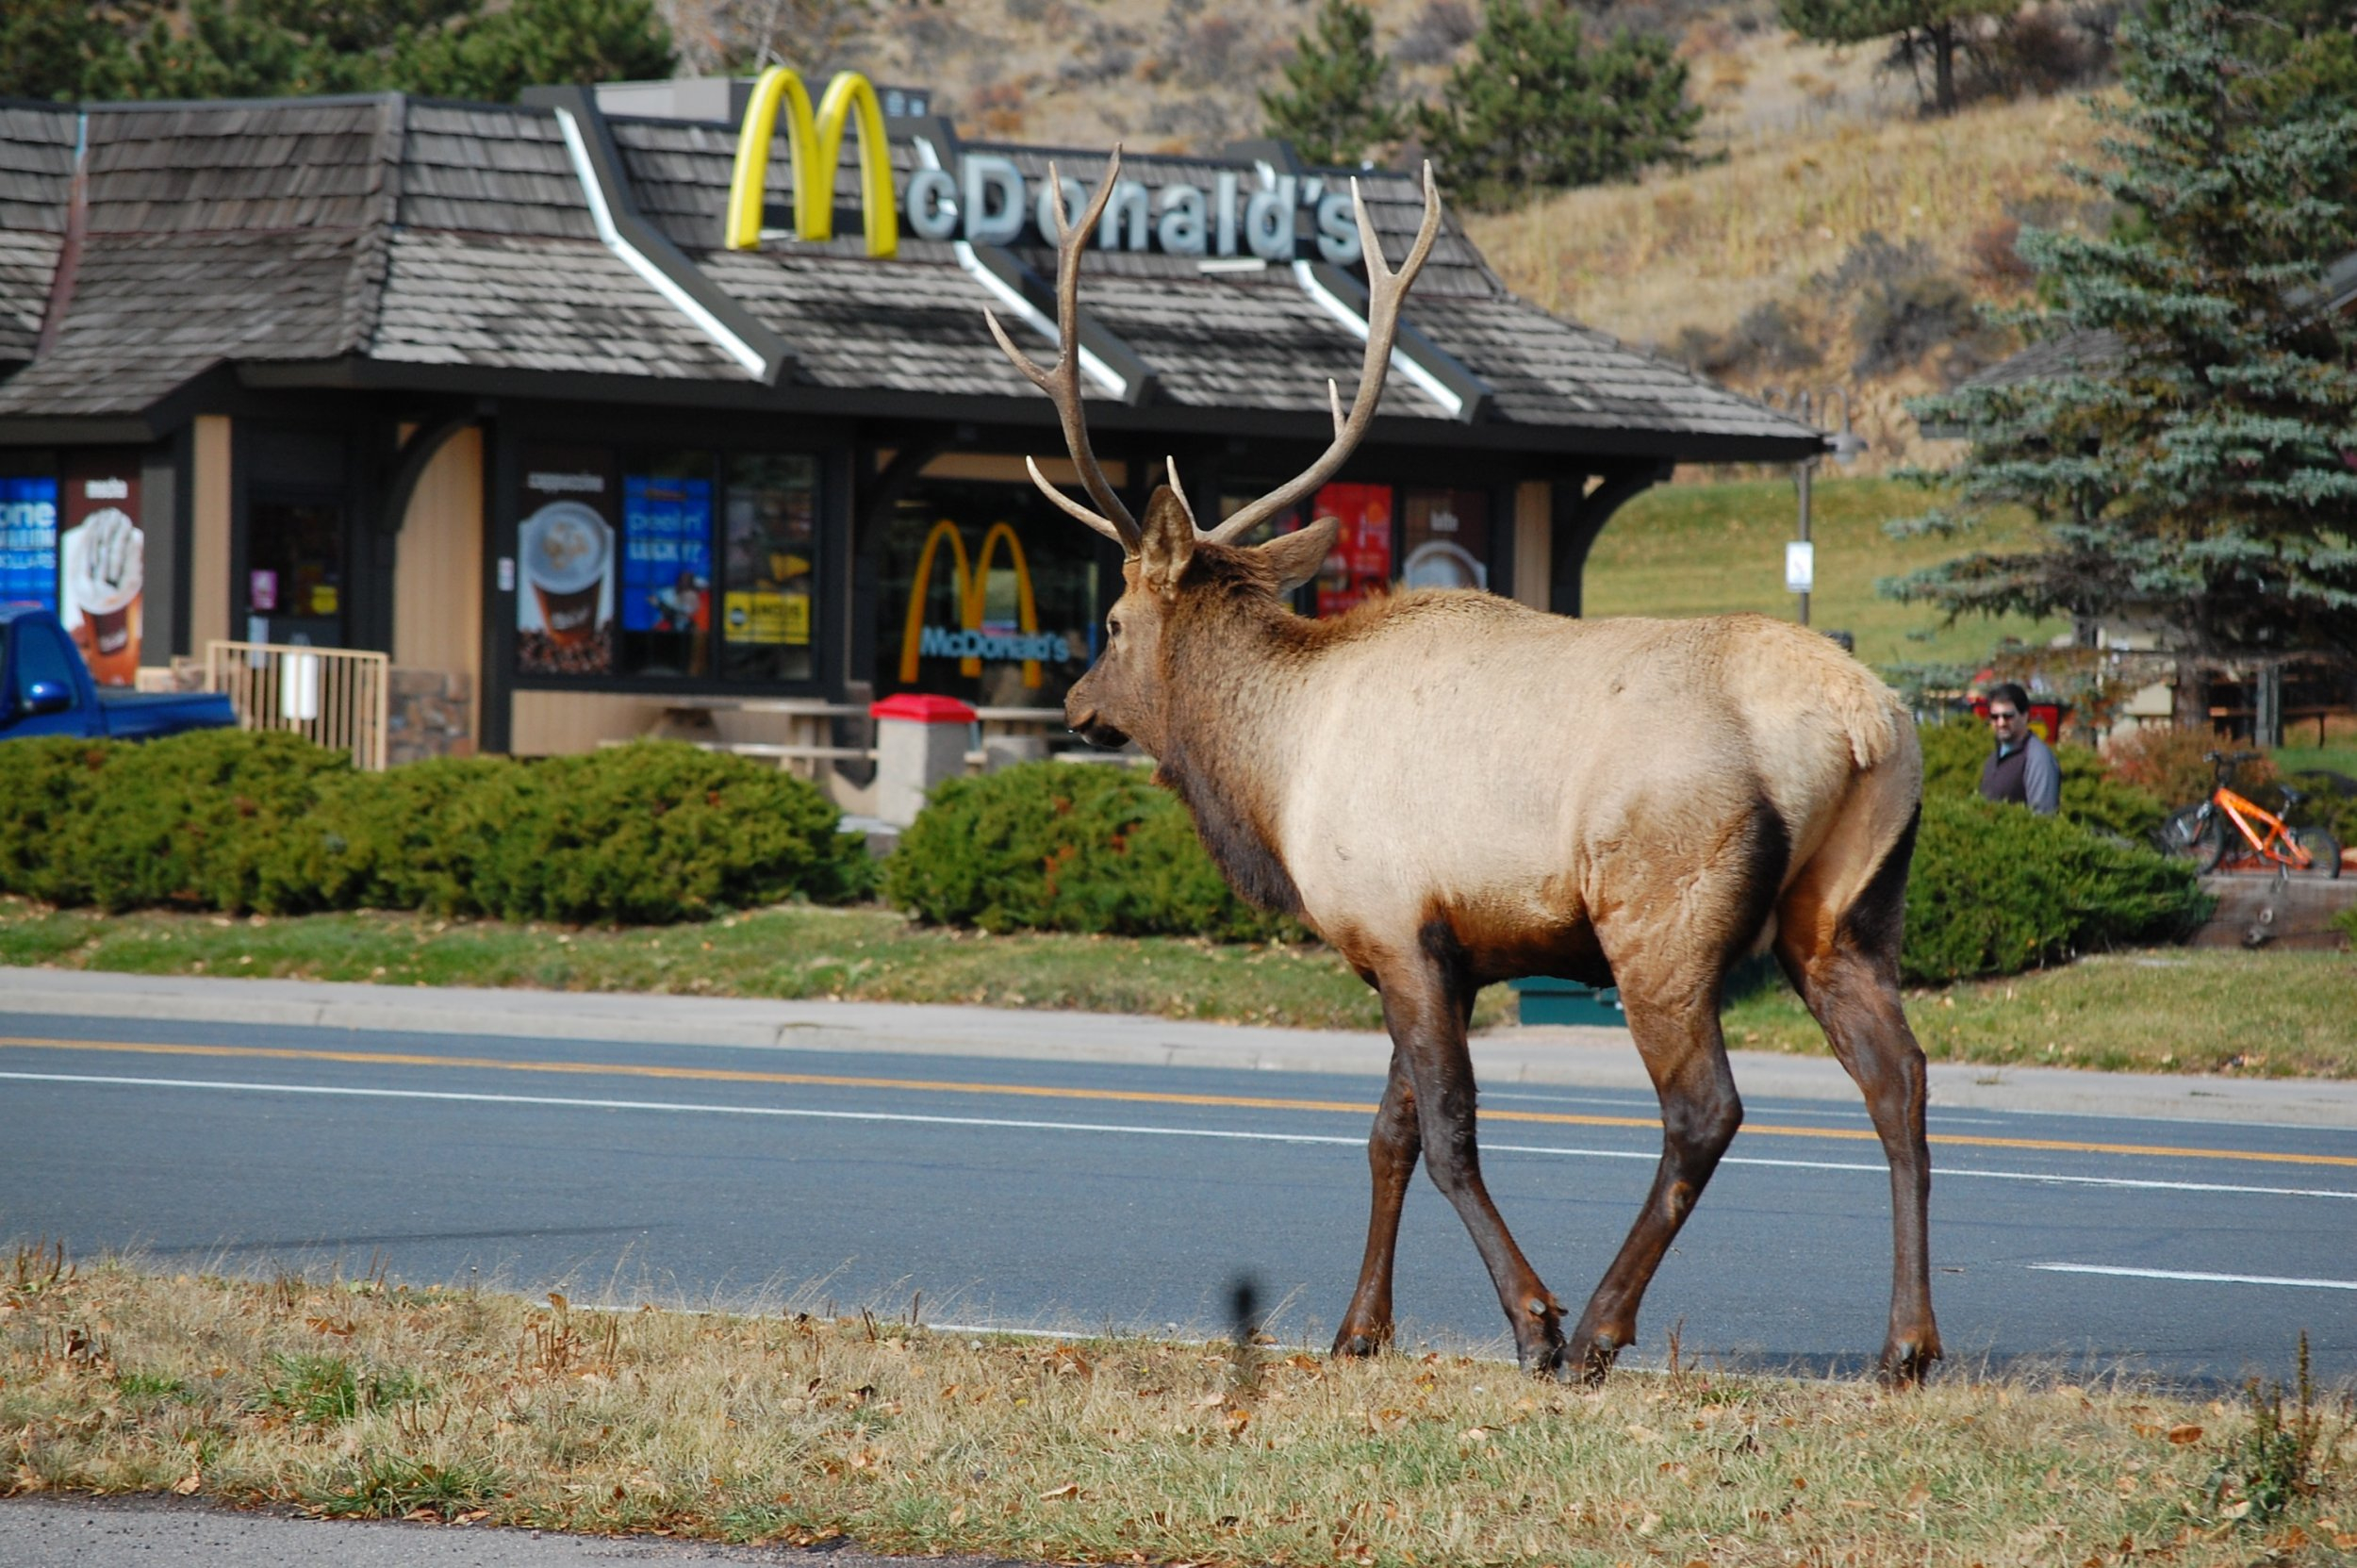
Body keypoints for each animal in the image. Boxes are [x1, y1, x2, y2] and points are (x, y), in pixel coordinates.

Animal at [983, 152, 1941, 1384]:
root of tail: (1864, 724)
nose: (1075, 704)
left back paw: (1598, 1327)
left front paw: (1528, 1319)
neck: (1273, 776)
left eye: (1108, 621)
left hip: (1663, 910)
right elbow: (1387, 1134)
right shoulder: (1445, 948)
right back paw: (1905, 1343)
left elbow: (1444, 1136)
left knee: (1705, 1110)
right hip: (1847, 911)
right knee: (1899, 1080)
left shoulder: (1394, 926)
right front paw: (1358, 1327)